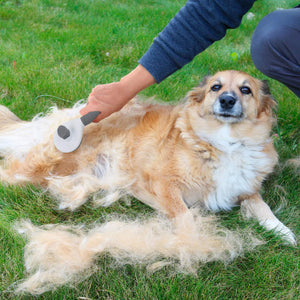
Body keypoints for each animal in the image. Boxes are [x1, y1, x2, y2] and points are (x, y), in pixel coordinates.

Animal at [0, 69, 296, 292]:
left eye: (246, 90)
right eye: (216, 87)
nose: (226, 100)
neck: (226, 142)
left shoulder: (246, 189)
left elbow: (264, 209)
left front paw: (284, 232)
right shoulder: (165, 184)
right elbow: (185, 217)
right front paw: (195, 243)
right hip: (40, 171)